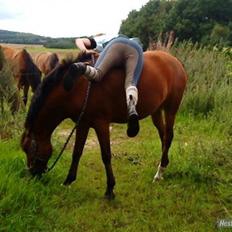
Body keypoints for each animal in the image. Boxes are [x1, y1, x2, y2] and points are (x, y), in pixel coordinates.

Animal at [20, 50, 188, 199]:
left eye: (30, 150)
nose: (32, 176)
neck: (77, 86)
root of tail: (176, 61)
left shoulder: (101, 124)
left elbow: (106, 155)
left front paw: (110, 189)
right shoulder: (83, 123)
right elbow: (77, 152)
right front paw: (68, 181)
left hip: (170, 109)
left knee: (168, 136)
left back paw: (160, 172)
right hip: (156, 111)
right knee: (163, 136)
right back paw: (162, 167)